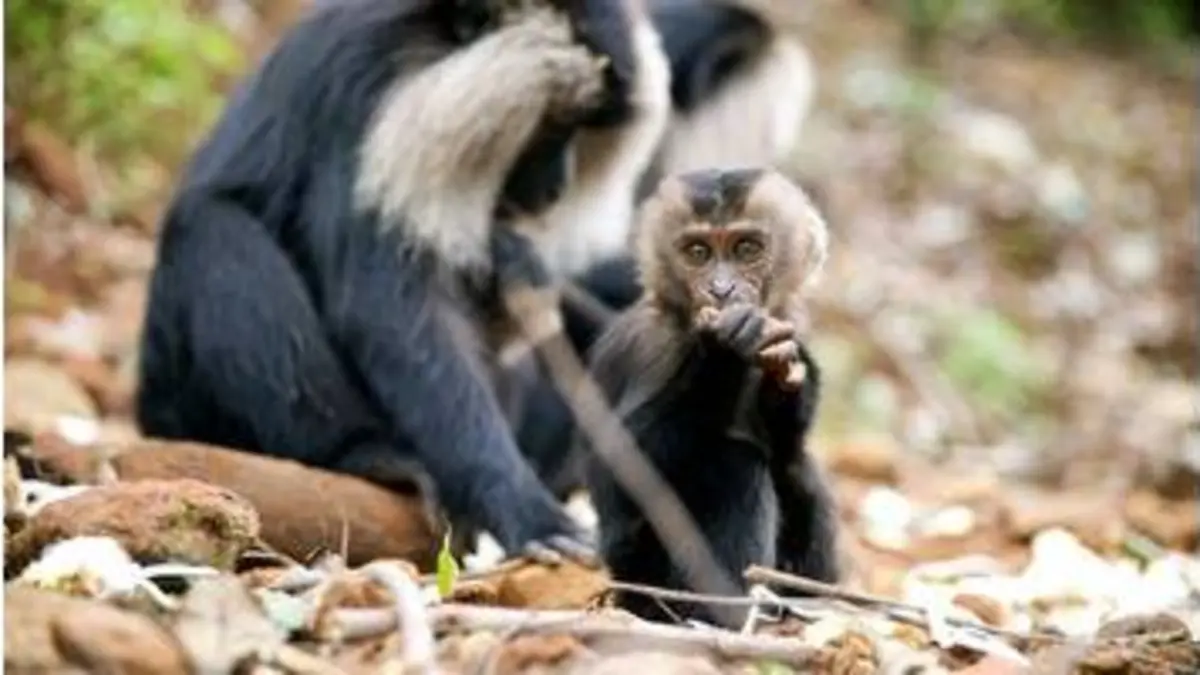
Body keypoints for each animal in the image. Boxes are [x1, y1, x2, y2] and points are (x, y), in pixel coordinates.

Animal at [134, 0, 676, 563]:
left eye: (583, 133)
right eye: (552, 128)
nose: (555, 188)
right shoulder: (380, 97)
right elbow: (395, 311)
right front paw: (521, 504)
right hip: (185, 402)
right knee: (213, 232)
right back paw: (361, 453)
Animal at [578, 167, 839, 626]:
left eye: (746, 249)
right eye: (698, 252)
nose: (721, 289)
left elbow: (787, 442)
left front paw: (790, 373)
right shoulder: (646, 344)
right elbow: (619, 468)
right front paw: (723, 350)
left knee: (795, 470)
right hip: (644, 579)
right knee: (732, 462)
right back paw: (722, 615)